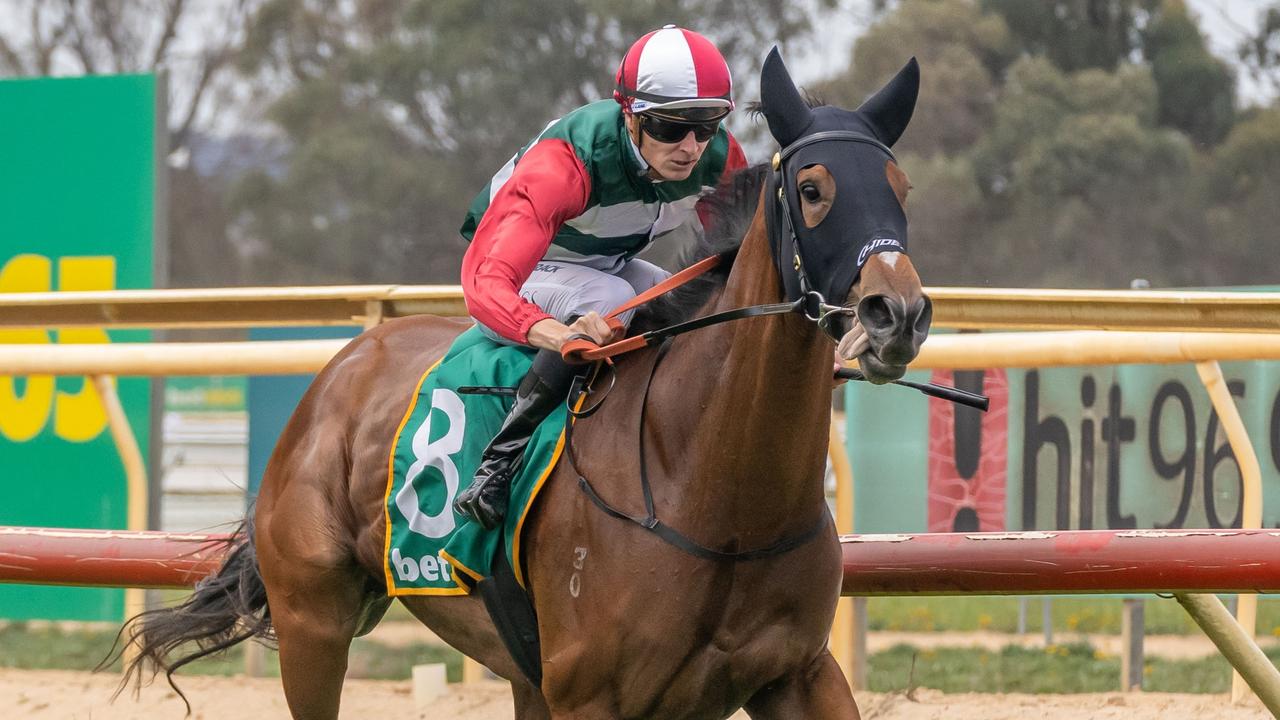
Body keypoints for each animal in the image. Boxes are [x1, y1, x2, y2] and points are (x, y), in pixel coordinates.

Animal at [120, 49, 931, 717]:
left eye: (903, 185)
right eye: (813, 188)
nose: (897, 313)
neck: (718, 497)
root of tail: (341, 369)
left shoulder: (798, 675)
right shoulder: (591, 694)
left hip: (515, 672)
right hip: (313, 622)